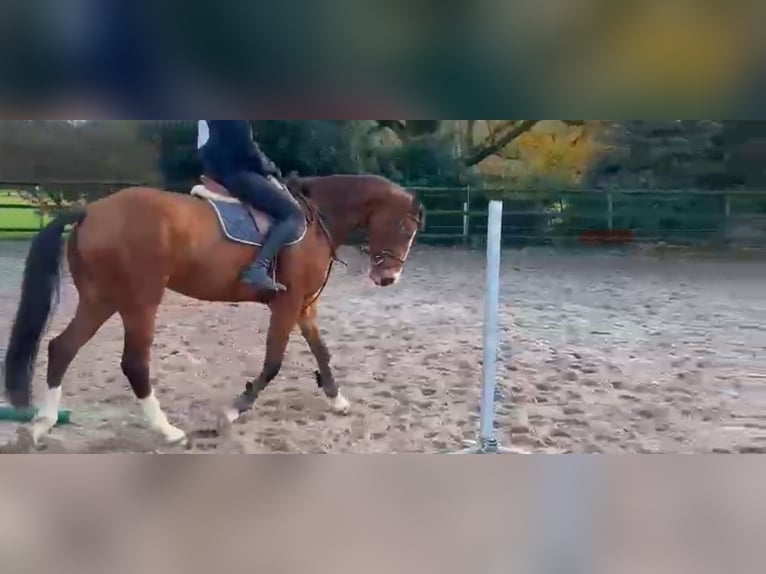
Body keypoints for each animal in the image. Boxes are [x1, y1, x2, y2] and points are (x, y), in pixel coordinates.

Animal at [1, 173, 426, 448]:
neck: (315, 219)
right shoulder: (288, 305)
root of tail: (90, 211)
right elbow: (273, 362)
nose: (388, 278)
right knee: (133, 363)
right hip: (139, 301)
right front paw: (234, 411)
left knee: (62, 348)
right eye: (405, 227)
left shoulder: (305, 306)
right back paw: (167, 431)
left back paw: (41, 425)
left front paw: (337, 400)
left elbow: (322, 352)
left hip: (101, 299)